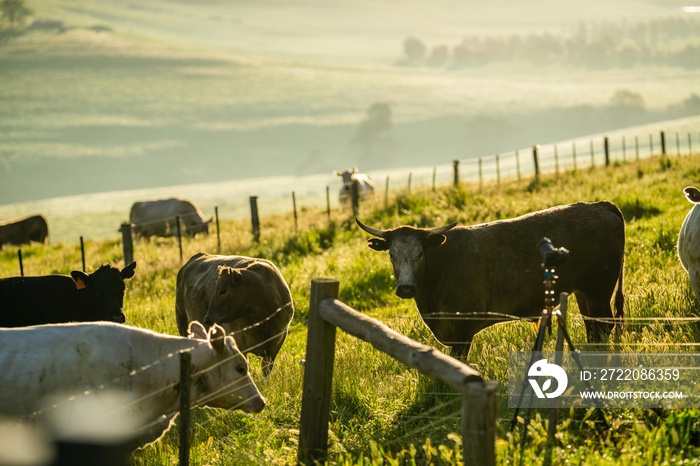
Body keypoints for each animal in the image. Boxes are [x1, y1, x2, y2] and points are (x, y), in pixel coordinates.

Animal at [358, 199, 628, 356]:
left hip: (599, 291)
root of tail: (600, 205)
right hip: (584, 292)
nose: (405, 288)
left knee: (604, 326)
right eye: (391, 254)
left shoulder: (463, 331)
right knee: (593, 327)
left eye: (420, 253)